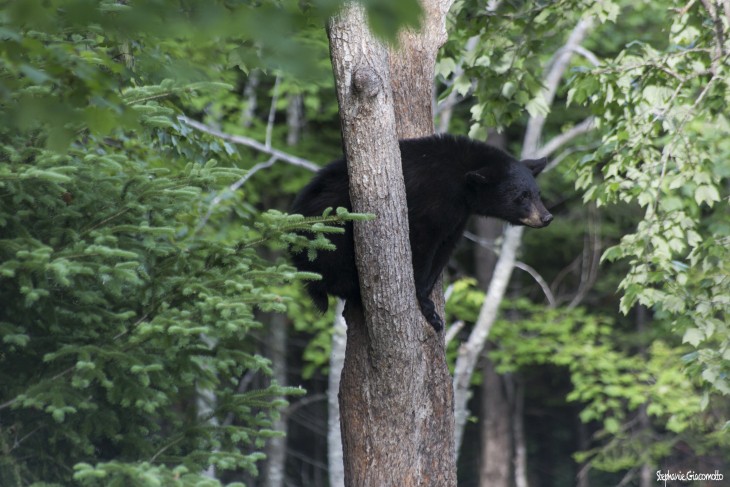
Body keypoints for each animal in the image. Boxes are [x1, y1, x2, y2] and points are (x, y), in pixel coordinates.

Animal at [290, 134, 552, 332]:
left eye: (537, 193)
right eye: (521, 196)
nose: (546, 217)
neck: (461, 185)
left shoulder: (457, 216)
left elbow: (444, 249)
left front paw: (428, 302)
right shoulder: (430, 203)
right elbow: (422, 246)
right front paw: (428, 309)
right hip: (331, 231)